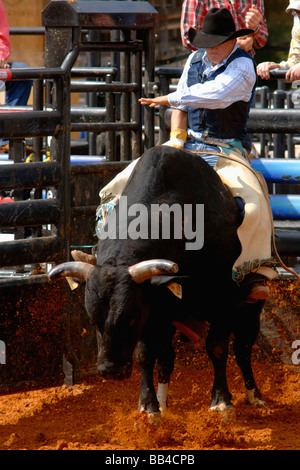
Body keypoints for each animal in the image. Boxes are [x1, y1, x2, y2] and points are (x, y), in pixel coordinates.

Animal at [49, 147, 268, 414]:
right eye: (92, 319)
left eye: (131, 318)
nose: (110, 371)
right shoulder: (154, 310)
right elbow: (146, 355)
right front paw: (149, 406)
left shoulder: (223, 300)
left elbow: (217, 347)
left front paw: (221, 401)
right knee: (166, 357)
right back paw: (164, 403)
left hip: (250, 308)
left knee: (243, 349)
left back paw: (254, 394)